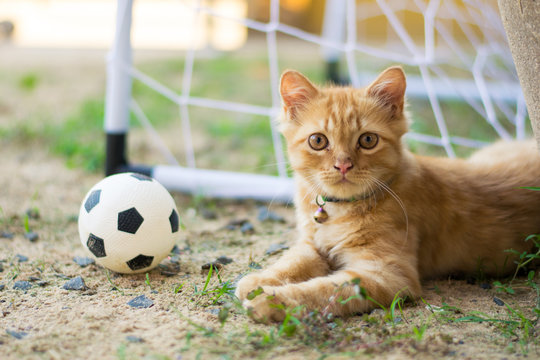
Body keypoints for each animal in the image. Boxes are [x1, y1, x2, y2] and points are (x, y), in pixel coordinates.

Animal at [234, 66, 540, 322]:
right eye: (318, 141)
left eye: (368, 140)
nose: (343, 165)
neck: (340, 210)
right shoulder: (312, 245)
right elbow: (291, 261)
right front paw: (258, 280)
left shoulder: (386, 274)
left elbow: (323, 290)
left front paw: (271, 301)